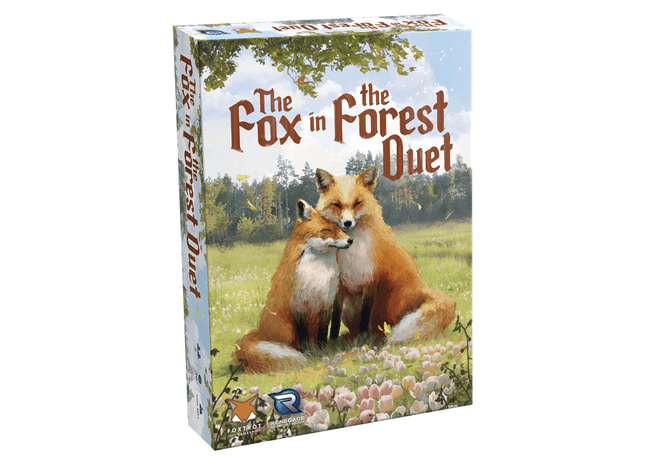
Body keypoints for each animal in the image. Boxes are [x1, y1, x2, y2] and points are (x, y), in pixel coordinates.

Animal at [233, 199, 352, 373]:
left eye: (340, 229)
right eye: (326, 230)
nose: (350, 240)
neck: (319, 273)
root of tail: (260, 332)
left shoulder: (326, 303)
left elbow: (323, 334)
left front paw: (323, 350)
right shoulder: (303, 306)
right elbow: (307, 337)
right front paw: (311, 354)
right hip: (288, 329)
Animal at [315, 165, 457, 343]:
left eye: (357, 203)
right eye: (336, 204)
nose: (347, 223)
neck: (352, 253)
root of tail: (422, 290)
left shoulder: (371, 279)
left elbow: (365, 315)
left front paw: (363, 339)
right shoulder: (340, 284)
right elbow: (334, 317)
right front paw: (331, 341)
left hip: (391, 303)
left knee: (384, 325)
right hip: (350, 308)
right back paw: (348, 338)